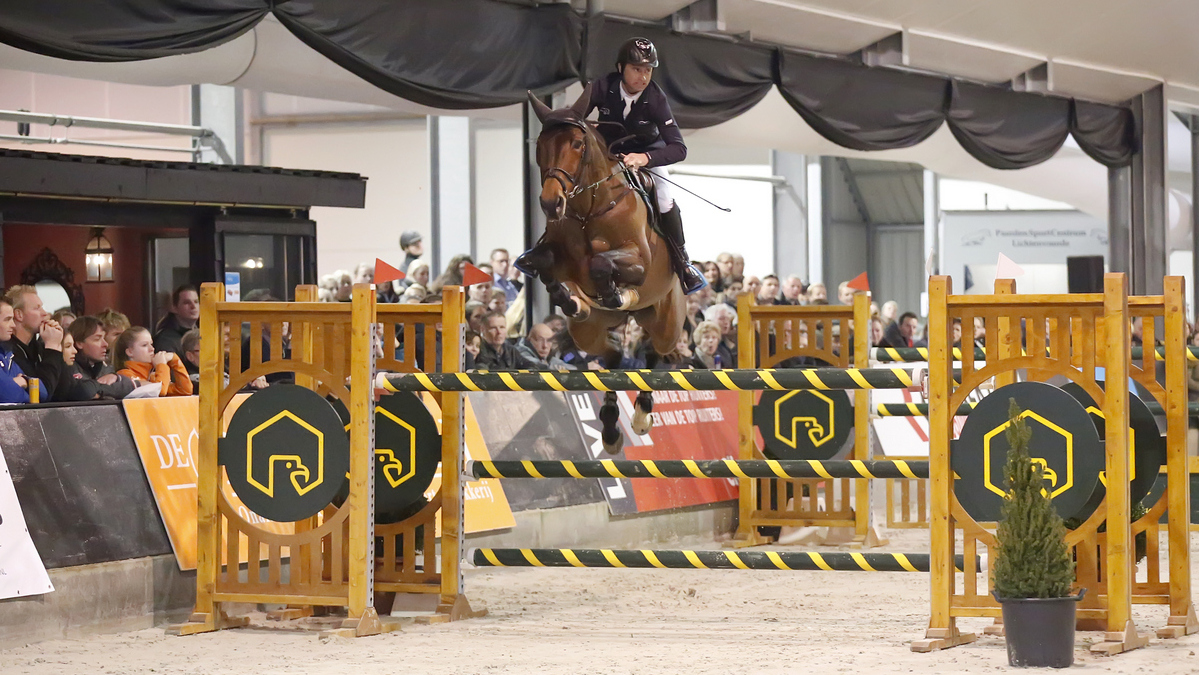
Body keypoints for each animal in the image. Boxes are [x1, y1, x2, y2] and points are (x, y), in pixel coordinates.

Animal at [522, 91, 690, 453]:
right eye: (540, 145)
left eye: (577, 144)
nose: (550, 204)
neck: (589, 211)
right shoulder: (556, 255)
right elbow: (542, 265)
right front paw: (571, 300)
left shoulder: (639, 260)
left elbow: (601, 264)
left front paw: (616, 293)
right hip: (588, 333)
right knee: (612, 354)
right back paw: (611, 427)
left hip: (668, 321)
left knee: (654, 352)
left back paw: (641, 416)